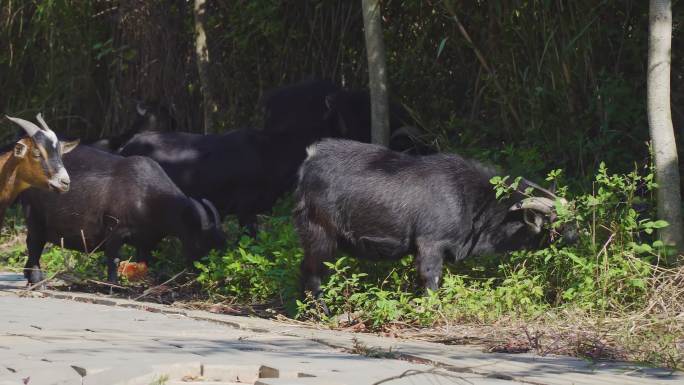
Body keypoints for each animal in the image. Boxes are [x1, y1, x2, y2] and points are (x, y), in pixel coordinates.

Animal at [20, 145, 224, 282]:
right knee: (35, 246)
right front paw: (113, 284)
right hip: (35, 217)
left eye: (219, 243)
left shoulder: (147, 240)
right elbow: (114, 259)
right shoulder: (115, 230)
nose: (206, 273)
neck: (148, 197)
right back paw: (37, 280)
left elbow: (144, 260)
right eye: (199, 242)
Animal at [294, 140, 572, 296]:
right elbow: (431, 278)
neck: (469, 197)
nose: (576, 236)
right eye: (556, 222)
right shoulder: (430, 244)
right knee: (311, 273)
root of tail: (310, 158)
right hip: (320, 234)